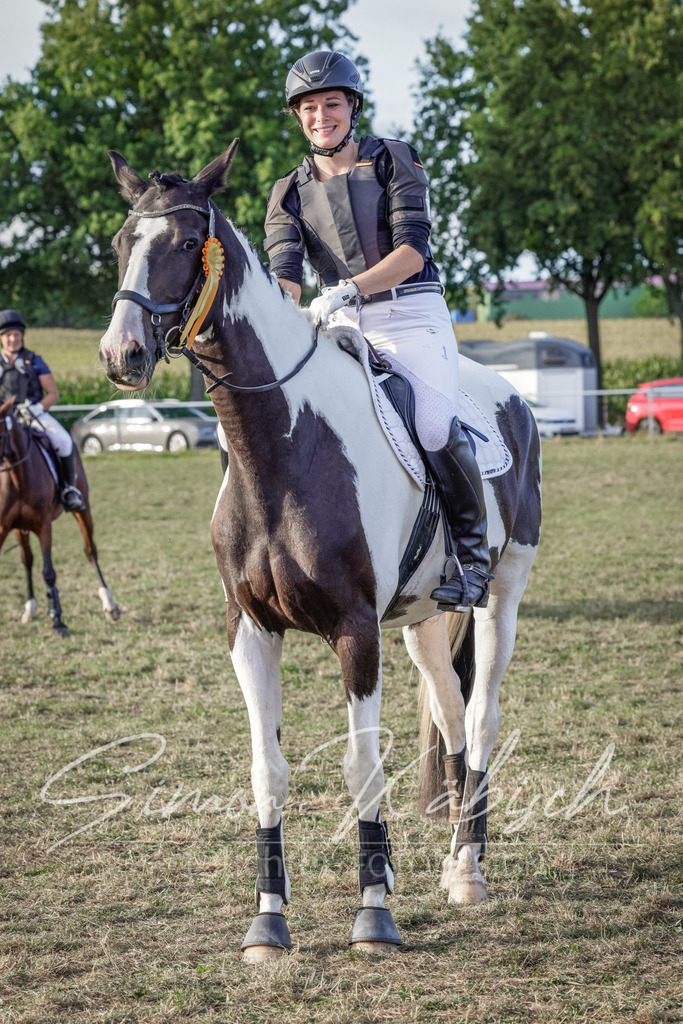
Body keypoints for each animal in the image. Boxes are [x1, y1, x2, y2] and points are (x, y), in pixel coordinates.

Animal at [0, 398, 120, 635]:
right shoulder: (3, 527)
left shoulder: (44, 525)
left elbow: (49, 572)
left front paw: (57, 620)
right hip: (20, 528)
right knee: (27, 560)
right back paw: (30, 608)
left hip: (82, 509)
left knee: (90, 551)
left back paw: (109, 604)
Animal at [99, 142, 541, 960]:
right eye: (121, 241)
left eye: (186, 241)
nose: (122, 353)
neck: (278, 447)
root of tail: (513, 400)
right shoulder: (250, 630)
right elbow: (267, 772)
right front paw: (268, 921)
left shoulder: (354, 630)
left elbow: (361, 763)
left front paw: (373, 912)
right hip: (421, 619)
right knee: (449, 710)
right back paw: (445, 863)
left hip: (503, 594)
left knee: (482, 718)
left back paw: (469, 871)